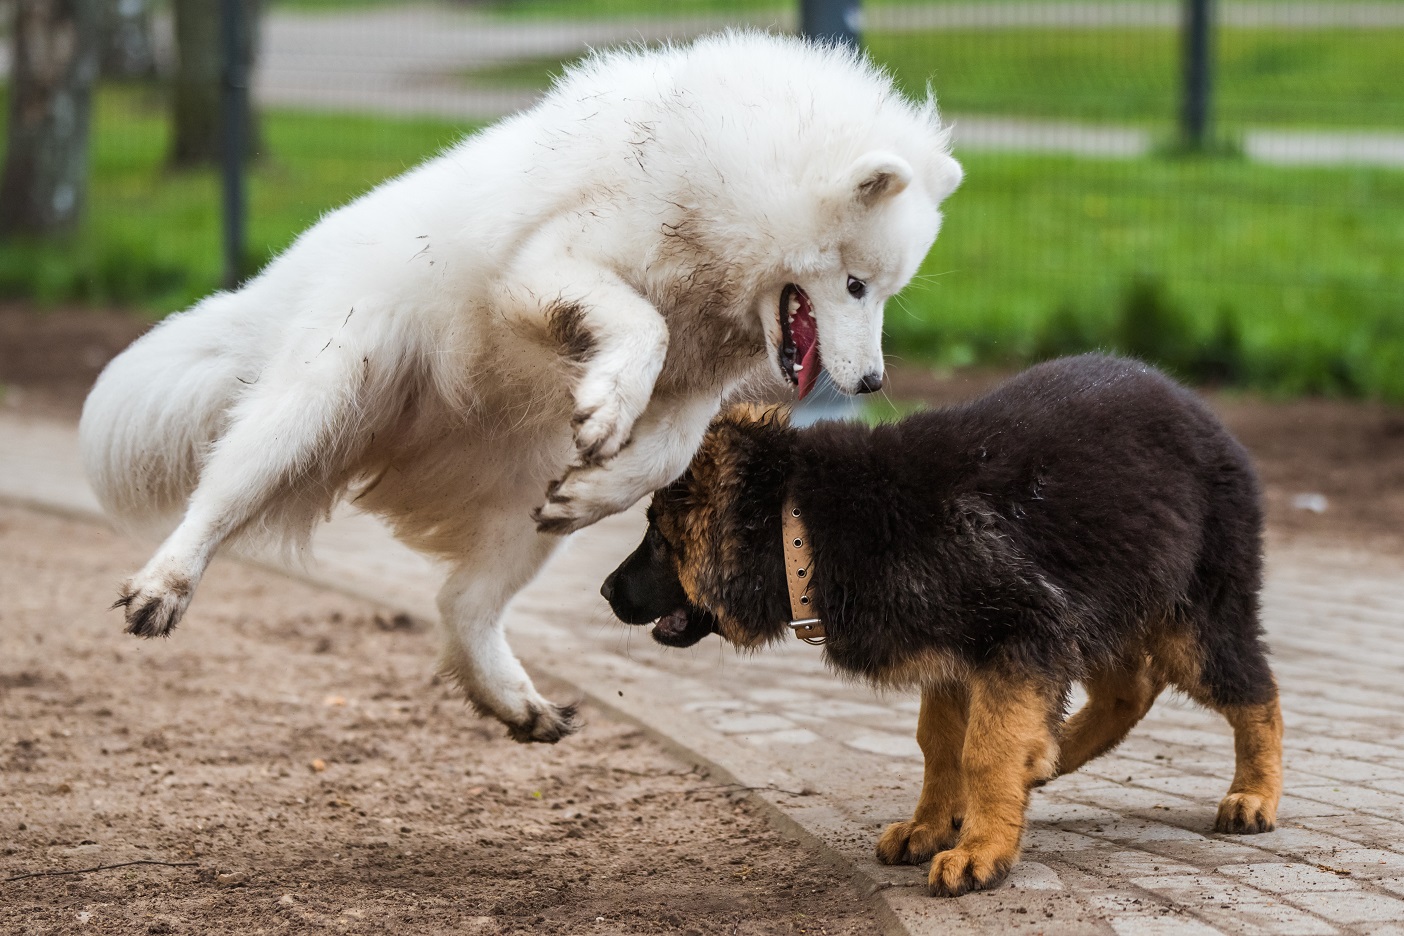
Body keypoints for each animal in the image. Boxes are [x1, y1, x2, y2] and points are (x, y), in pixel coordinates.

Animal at [79, 32, 965, 740]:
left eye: (885, 293)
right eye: (855, 285)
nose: (874, 379)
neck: (730, 188)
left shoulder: (690, 391)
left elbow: (661, 454)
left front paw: (601, 473)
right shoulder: (547, 270)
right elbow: (642, 326)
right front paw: (609, 402)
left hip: (519, 513)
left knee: (460, 606)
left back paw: (514, 700)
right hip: (314, 405)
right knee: (217, 499)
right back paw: (162, 587)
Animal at [603, 355, 1286, 898]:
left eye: (657, 539)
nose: (607, 592)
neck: (806, 526)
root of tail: (1203, 414)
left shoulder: (1021, 633)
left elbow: (984, 749)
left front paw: (981, 852)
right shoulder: (960, 656)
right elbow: (940, 745)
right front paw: (932, 826)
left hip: (1191, 622)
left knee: (1256, 692)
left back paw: (1254, 794)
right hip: (1107, 601)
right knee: (1131, 689)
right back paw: (1050, 757)